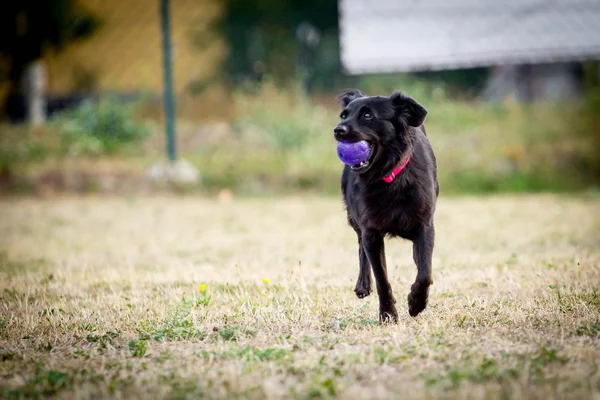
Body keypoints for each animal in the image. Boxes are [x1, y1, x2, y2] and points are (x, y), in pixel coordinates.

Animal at [336, 89, 438, 324]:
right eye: (344, 115)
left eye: (367, 115)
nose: (338, 130)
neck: (390, 178)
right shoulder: (371, 231)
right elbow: (381, 277)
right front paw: (388, 314)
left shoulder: (425, 226)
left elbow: (425, 273)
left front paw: (416, 302)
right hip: (355, 219)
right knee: (360, 248)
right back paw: (363, 284)